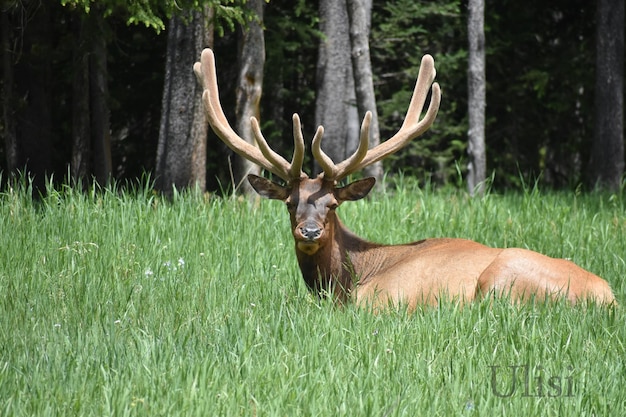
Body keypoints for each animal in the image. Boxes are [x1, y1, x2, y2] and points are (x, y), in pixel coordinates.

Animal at [191, 48, 616, 308]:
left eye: (332, 204)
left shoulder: (379, 303)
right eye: (290, 203)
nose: (309, 231)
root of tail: (607, 300)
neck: (347, 284)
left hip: (501, 276)